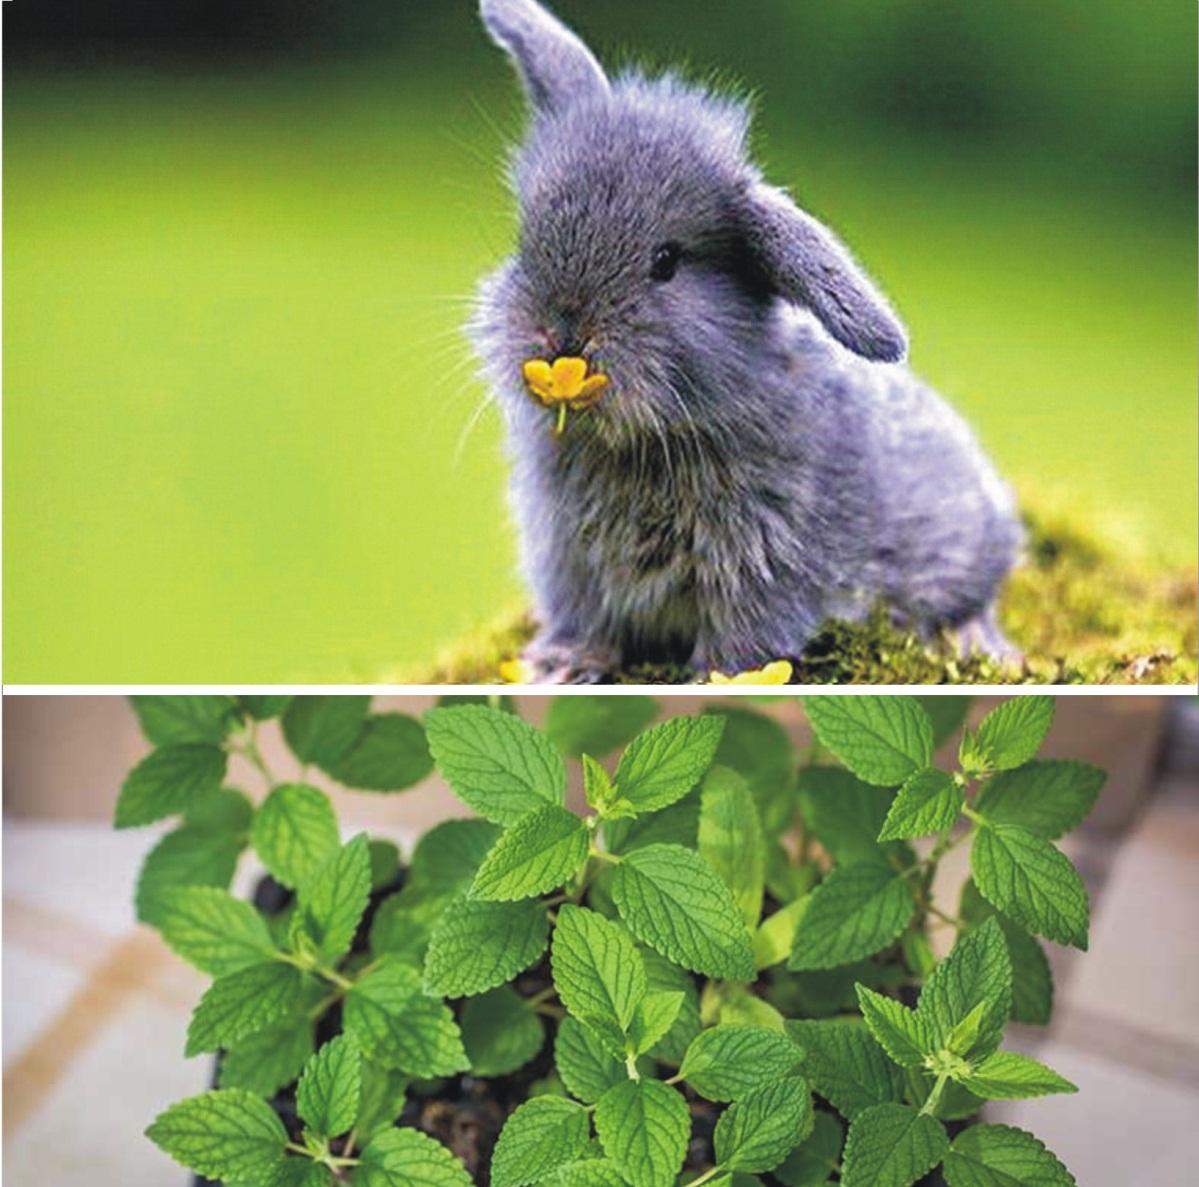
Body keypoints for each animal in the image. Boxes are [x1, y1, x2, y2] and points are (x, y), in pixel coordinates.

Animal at [469, 0, 1023, 683]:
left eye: (666, 262)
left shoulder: (765, 568)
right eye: (527, 241)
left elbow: (742, 643)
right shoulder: (570, 560)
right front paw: (558, 665)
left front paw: (712, 681)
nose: (560, 334)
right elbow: (587, 620)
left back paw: (976, 641)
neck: (650, 439)